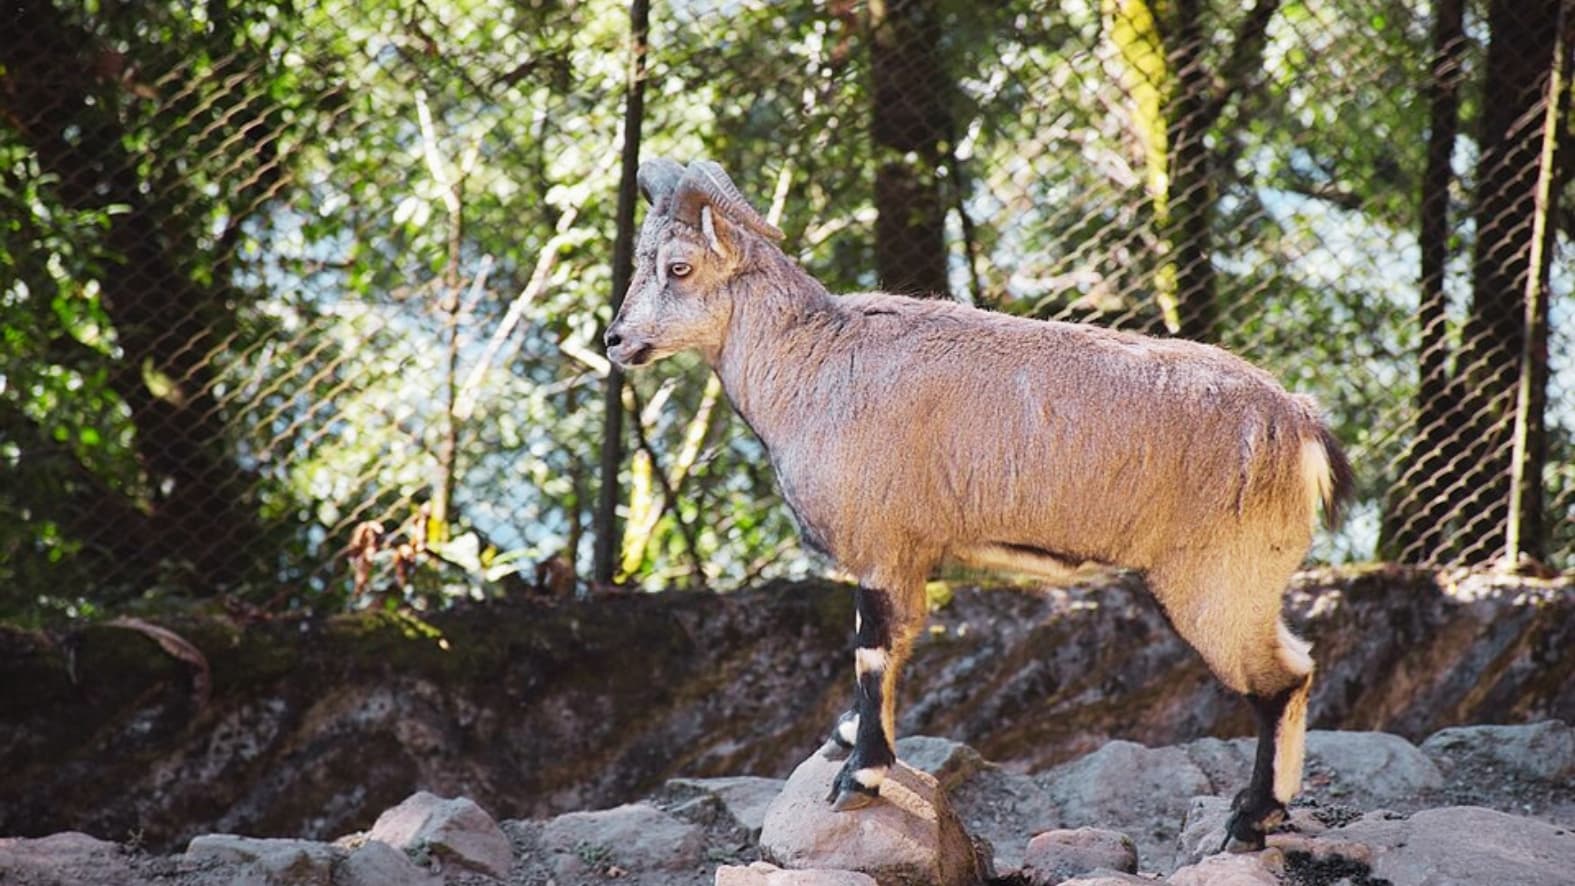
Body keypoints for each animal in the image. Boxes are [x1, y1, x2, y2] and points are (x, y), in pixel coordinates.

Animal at [604, 157, 1355, 851]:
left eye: (677, 267)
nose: (615, 340)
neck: (813, 361)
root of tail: (1300, 426)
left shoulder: (880, 547)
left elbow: (872, 650)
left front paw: (859, 776)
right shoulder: (907, 557)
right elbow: (896, 644)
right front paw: (846, 738)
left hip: (1216, 581)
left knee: (1280, 680)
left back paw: (1248, 821)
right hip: (1244, 581)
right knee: (1298, 663)